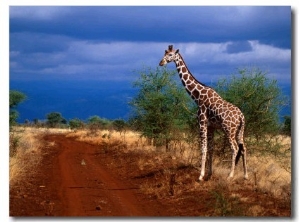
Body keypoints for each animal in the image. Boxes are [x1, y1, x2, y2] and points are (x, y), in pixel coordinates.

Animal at [159, 44, 248, 180]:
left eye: (170, 54)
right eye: (164, 53)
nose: (161, 63)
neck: (197, 96)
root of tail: (241, 117)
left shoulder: (202, 123)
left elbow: (203, 148)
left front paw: (201, 175)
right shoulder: (211, 127)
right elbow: (210, 149)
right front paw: (209, 173)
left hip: (229, 130)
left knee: (235, 148)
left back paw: (230, 175)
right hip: (239, 131)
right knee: (243, 148)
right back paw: (245, 175)